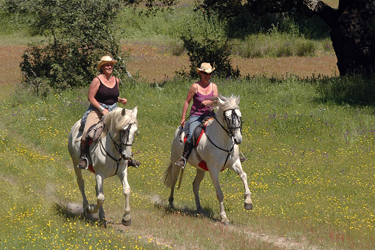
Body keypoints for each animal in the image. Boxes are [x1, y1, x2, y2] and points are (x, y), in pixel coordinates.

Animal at [164, 95, 253, 225]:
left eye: (239, 116)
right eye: (228, 118)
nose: (238, 139)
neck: (223, 140)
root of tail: (180, 127)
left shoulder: (234, 163)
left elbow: (243, 175)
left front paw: (248, 202)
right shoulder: (213, 170)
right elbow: (220, 193)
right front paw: (224, 218)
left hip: (201, 169)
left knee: (195, 185)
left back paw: (200, 209)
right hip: (176, 162)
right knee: (173, 181)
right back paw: (171, 203)